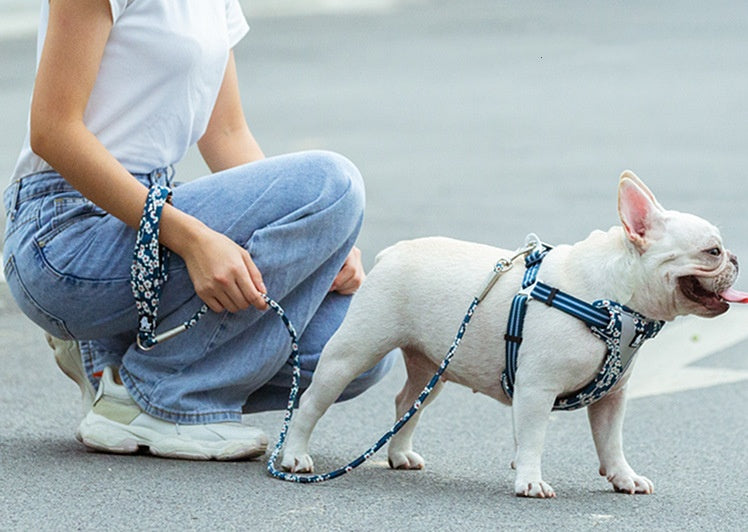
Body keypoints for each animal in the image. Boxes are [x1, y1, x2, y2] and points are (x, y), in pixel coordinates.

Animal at [280, 171, 744, 498]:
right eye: (712, 251)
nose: (736, 258)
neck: (610, 301)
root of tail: (393, 252)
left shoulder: (611, 398)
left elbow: (611, 442)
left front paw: (623, 477)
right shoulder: (537, 389)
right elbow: (534, 438)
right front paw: (530, 481)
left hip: (434, 368)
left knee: (407, 403)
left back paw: (399, 454)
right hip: (352, 353)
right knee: (311, 402)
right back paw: (294, 455)